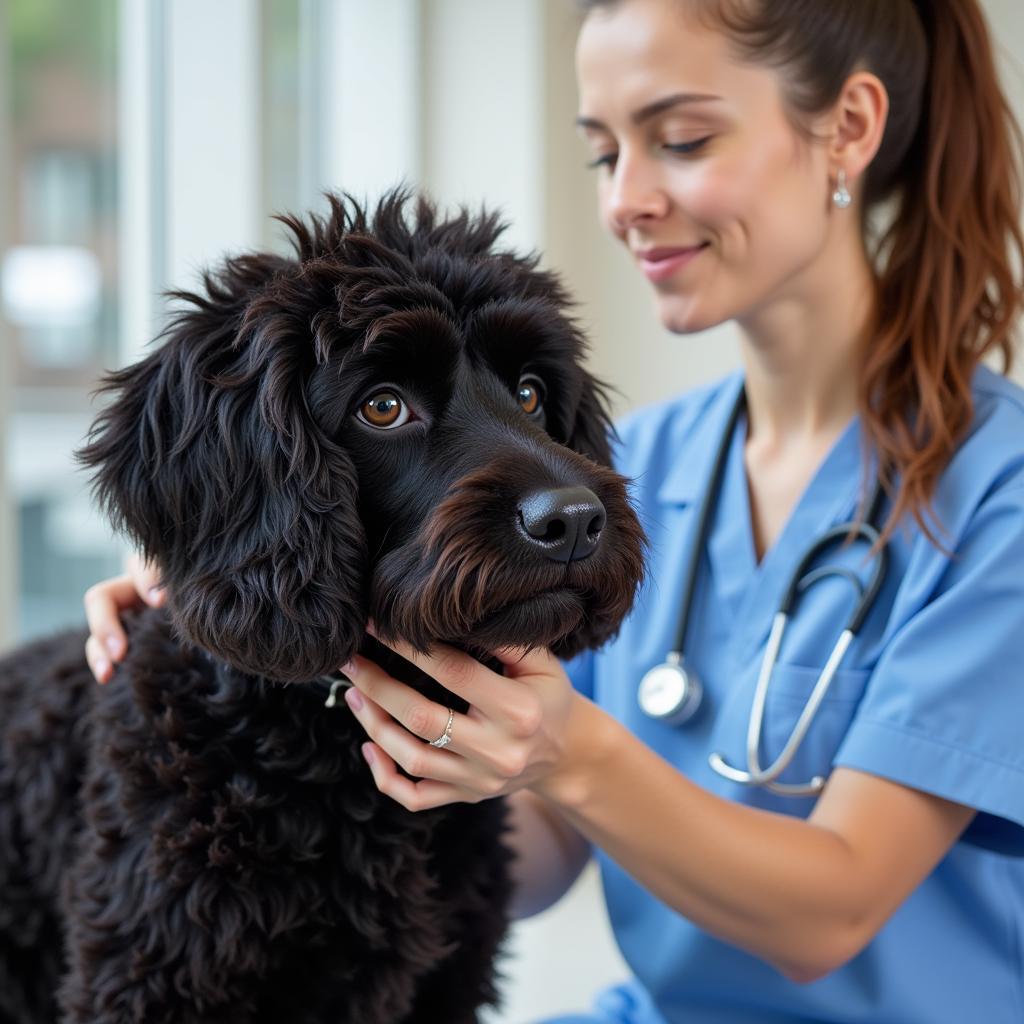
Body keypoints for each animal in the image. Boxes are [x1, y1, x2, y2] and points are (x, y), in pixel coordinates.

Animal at [0, 192, 638, 1024]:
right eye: (383, 406)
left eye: (530, 391)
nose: (574, 520)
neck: (320, 740)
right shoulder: (145, 978)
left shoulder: (448, 977)